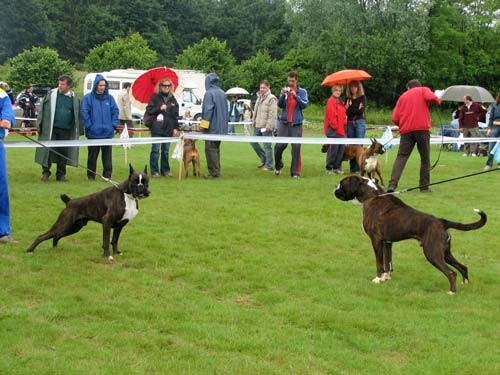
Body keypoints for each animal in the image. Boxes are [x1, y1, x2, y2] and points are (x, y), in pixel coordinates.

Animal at [334, 178, 486, 296]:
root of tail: (442, 221)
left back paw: (452, 292)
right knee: (463, 267)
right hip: (444, 252)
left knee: (451, 273)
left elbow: (379, 263)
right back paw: (465, 284)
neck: (372, 195)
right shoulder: (387, 242)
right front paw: (386, 278)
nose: (334, 189)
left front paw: (378, 279)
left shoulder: (376, 240)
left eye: (341, 184)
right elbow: (388, 262)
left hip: (432, 253)